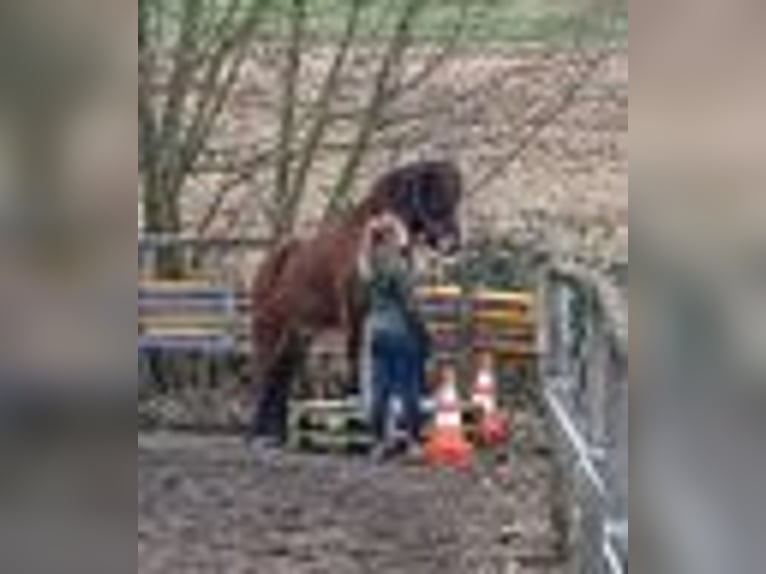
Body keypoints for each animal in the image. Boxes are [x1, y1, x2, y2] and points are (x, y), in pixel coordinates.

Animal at [249, 160, 462, 448]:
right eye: (434, 196)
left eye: (455, 196)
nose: (453, 243)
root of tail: (269, 262)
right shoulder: (355, 314)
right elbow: (355, 357)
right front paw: (355, 416)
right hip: (270, 331)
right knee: (264, 376)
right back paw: (259, 433)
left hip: (297, 336)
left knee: (280, 378)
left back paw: (279, 435)